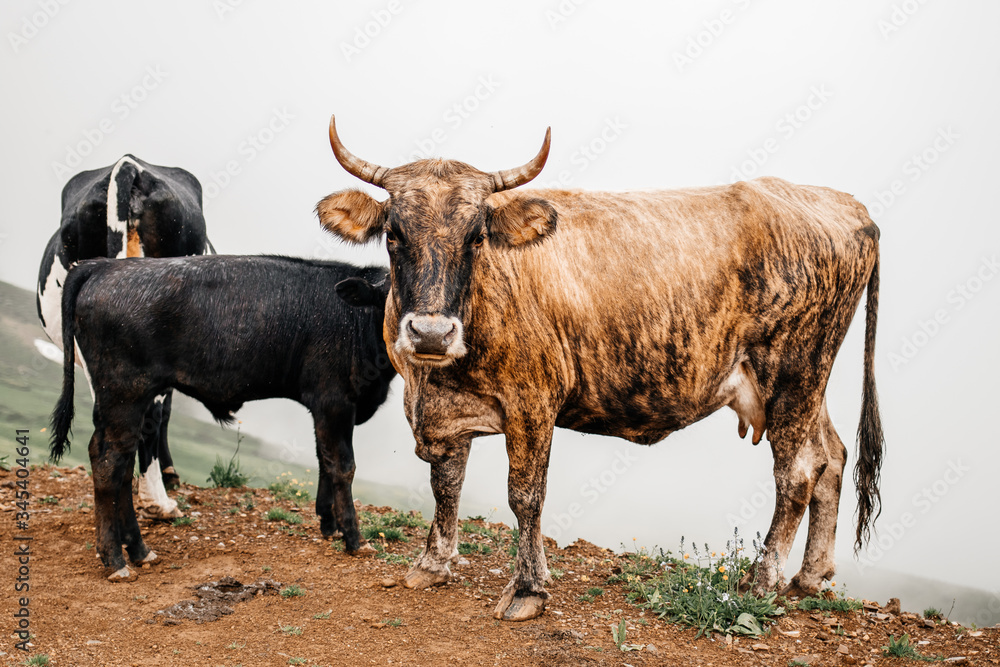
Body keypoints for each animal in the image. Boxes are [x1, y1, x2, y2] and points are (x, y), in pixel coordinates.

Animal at [48, 254, 395, 581]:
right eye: (390, 299)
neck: (356, 321)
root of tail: (103, 266)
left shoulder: (328, 408)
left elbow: (324, 459)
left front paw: (328, 523)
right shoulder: (334, 400)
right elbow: (342, 466)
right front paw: (354, 538)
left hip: (129, 402)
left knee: (121, 463)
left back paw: (138, 550)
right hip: (124, 395)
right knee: (109, 462)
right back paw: (115, 560)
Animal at [316, 116, 885, 621]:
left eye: (476, 237)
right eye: (393, 233)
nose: (431, 333)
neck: (434, 379)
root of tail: (844, 204)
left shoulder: (533, 402)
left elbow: (525, 496)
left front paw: (528, 590)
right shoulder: (445, 411)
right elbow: (446, 483)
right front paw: (433, 564)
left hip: (794, 372)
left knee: (797, 473)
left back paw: (761, 581)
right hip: (804, 384)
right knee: (831, 457)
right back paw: (809, 578)